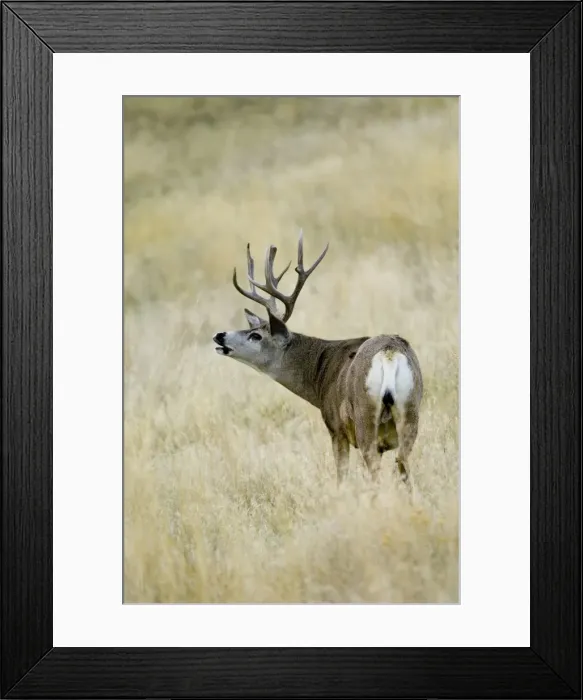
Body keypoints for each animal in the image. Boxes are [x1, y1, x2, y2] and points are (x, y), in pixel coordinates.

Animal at [213, 231, 423, 487]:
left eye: (256, 336)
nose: (219, 335)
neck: (320, 374)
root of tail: (389, 352)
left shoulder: (336, 427)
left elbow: (341, 475)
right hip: (410, 411)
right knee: (403, 465)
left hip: (365, 415)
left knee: (374, 467)